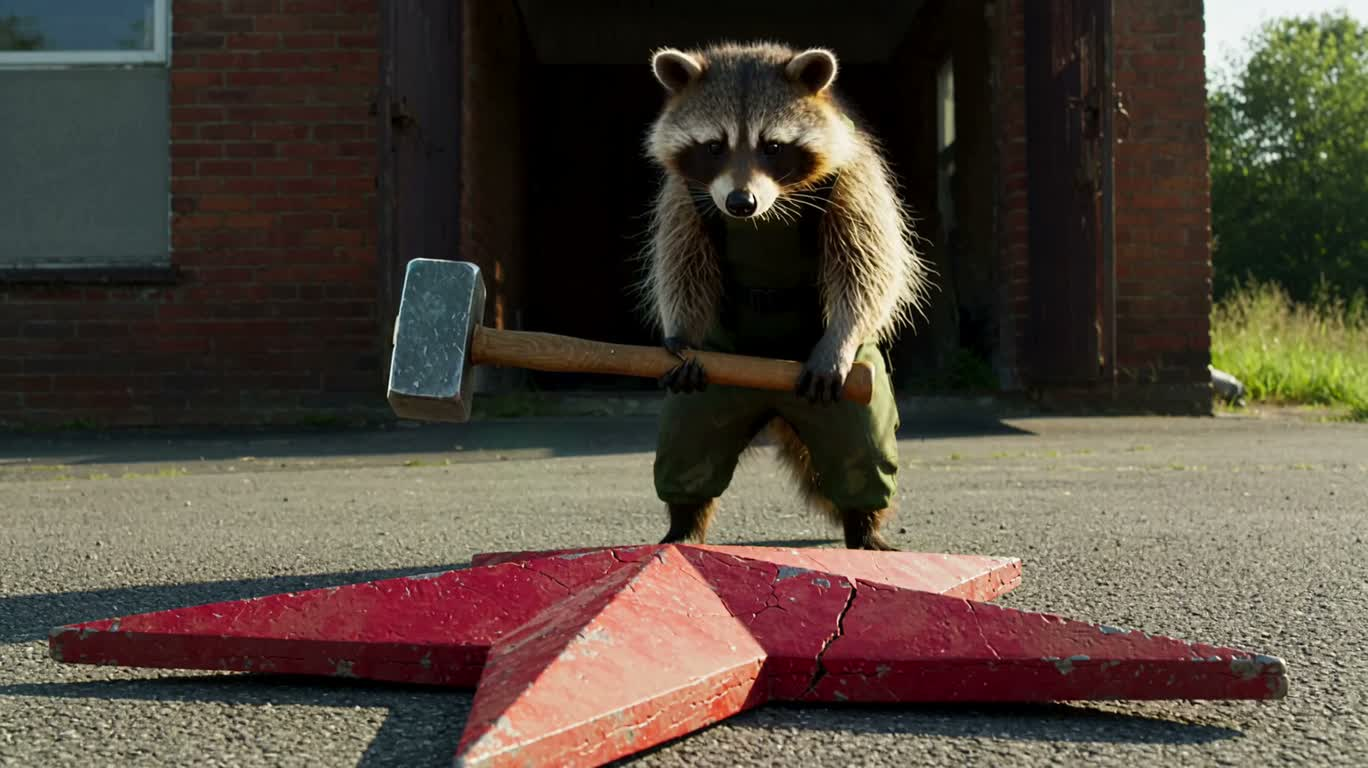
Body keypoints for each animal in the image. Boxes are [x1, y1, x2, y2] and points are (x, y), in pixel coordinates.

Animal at [637, 40, 932, 551]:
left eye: (772, 147)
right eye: (714, 146)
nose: (740, 204)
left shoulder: (854, 177)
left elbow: (870, 263)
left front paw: (841, 338)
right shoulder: (683, 197)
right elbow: (681, 264)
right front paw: (680, 331)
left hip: (850, 393)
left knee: (859, 450)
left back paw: (864, 527)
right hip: (720, 377)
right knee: (691, 443)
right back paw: (683, 522)